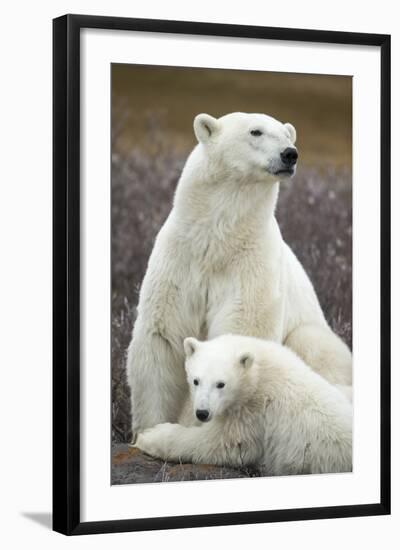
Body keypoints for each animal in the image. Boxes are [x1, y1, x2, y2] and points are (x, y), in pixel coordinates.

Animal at [126, 114, 352, 442]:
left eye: (287, 134)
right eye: (255, 131)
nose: (290, 153)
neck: (217, 240)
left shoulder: (250, 264)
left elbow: (240, 329)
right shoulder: (180, 260)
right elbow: (163, 337)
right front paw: (147, 430)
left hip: (315, 337)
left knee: (312, 345)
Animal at [135, 334, 354, 476]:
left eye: (221, 384)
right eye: (195, 380)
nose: (202, 413)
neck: (258, 369)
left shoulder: (254, 410)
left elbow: (223, 443)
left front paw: (150, 436)